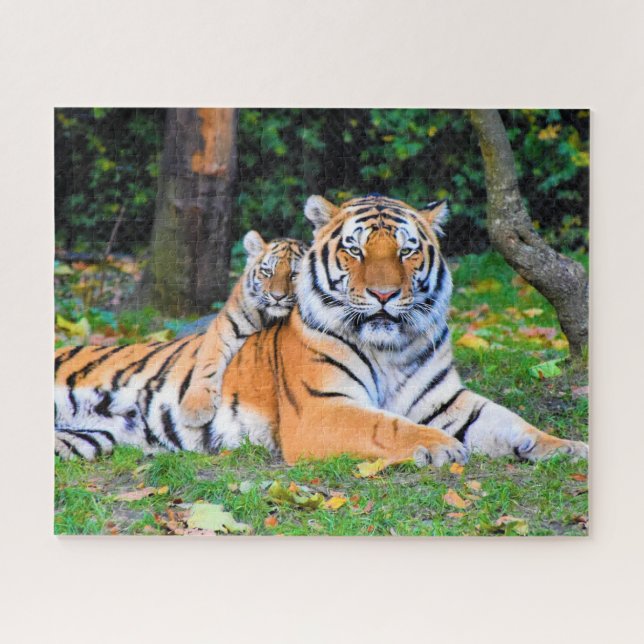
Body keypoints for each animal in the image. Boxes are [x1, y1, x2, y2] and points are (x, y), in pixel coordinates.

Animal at [54, 231, 307, 460]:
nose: (277, 297)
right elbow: (208, 362)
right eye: (267, 272)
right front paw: (196, 410)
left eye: (294, 274)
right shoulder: (225, 325)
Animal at [211, 194, 589, 467]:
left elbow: (509, 421)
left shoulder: (444, 399)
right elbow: (385, 425)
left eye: (406, 251)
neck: (388, 349)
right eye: (355, 250)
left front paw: (567, 447)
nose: (383, 294)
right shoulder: (320, 408)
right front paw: (442, 445)